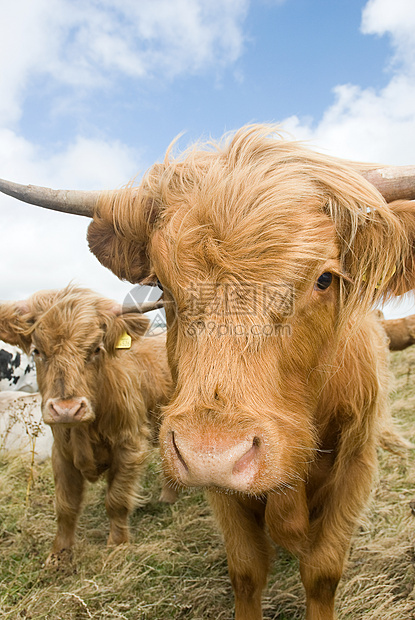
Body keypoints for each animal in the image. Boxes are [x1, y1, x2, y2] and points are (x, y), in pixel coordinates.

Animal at [0, 286, 172, 568]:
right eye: (37, 351)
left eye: (96, 349)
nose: (67, 409)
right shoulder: (61, 454)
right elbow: (65, 506)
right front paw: (58, 554)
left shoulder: (130, 446)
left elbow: (116, 500)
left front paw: (117, 546)